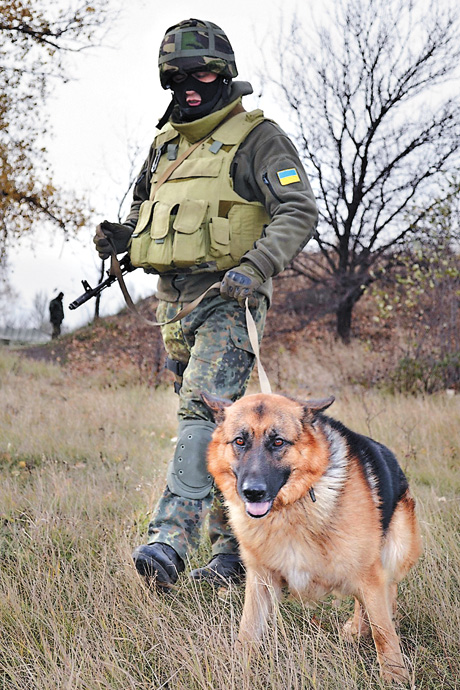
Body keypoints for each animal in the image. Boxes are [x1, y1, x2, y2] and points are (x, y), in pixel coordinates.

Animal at [203, 392, 422, 684]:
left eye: (278, 442)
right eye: (239, 441)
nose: (253, 492)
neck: (291, 508)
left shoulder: (369, 573)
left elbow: (383, 632)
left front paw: (394, 675)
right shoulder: (260, 579)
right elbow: (247, 631)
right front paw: (239, 668)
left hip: (394, 550)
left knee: (387, 592)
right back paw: (357, 629)